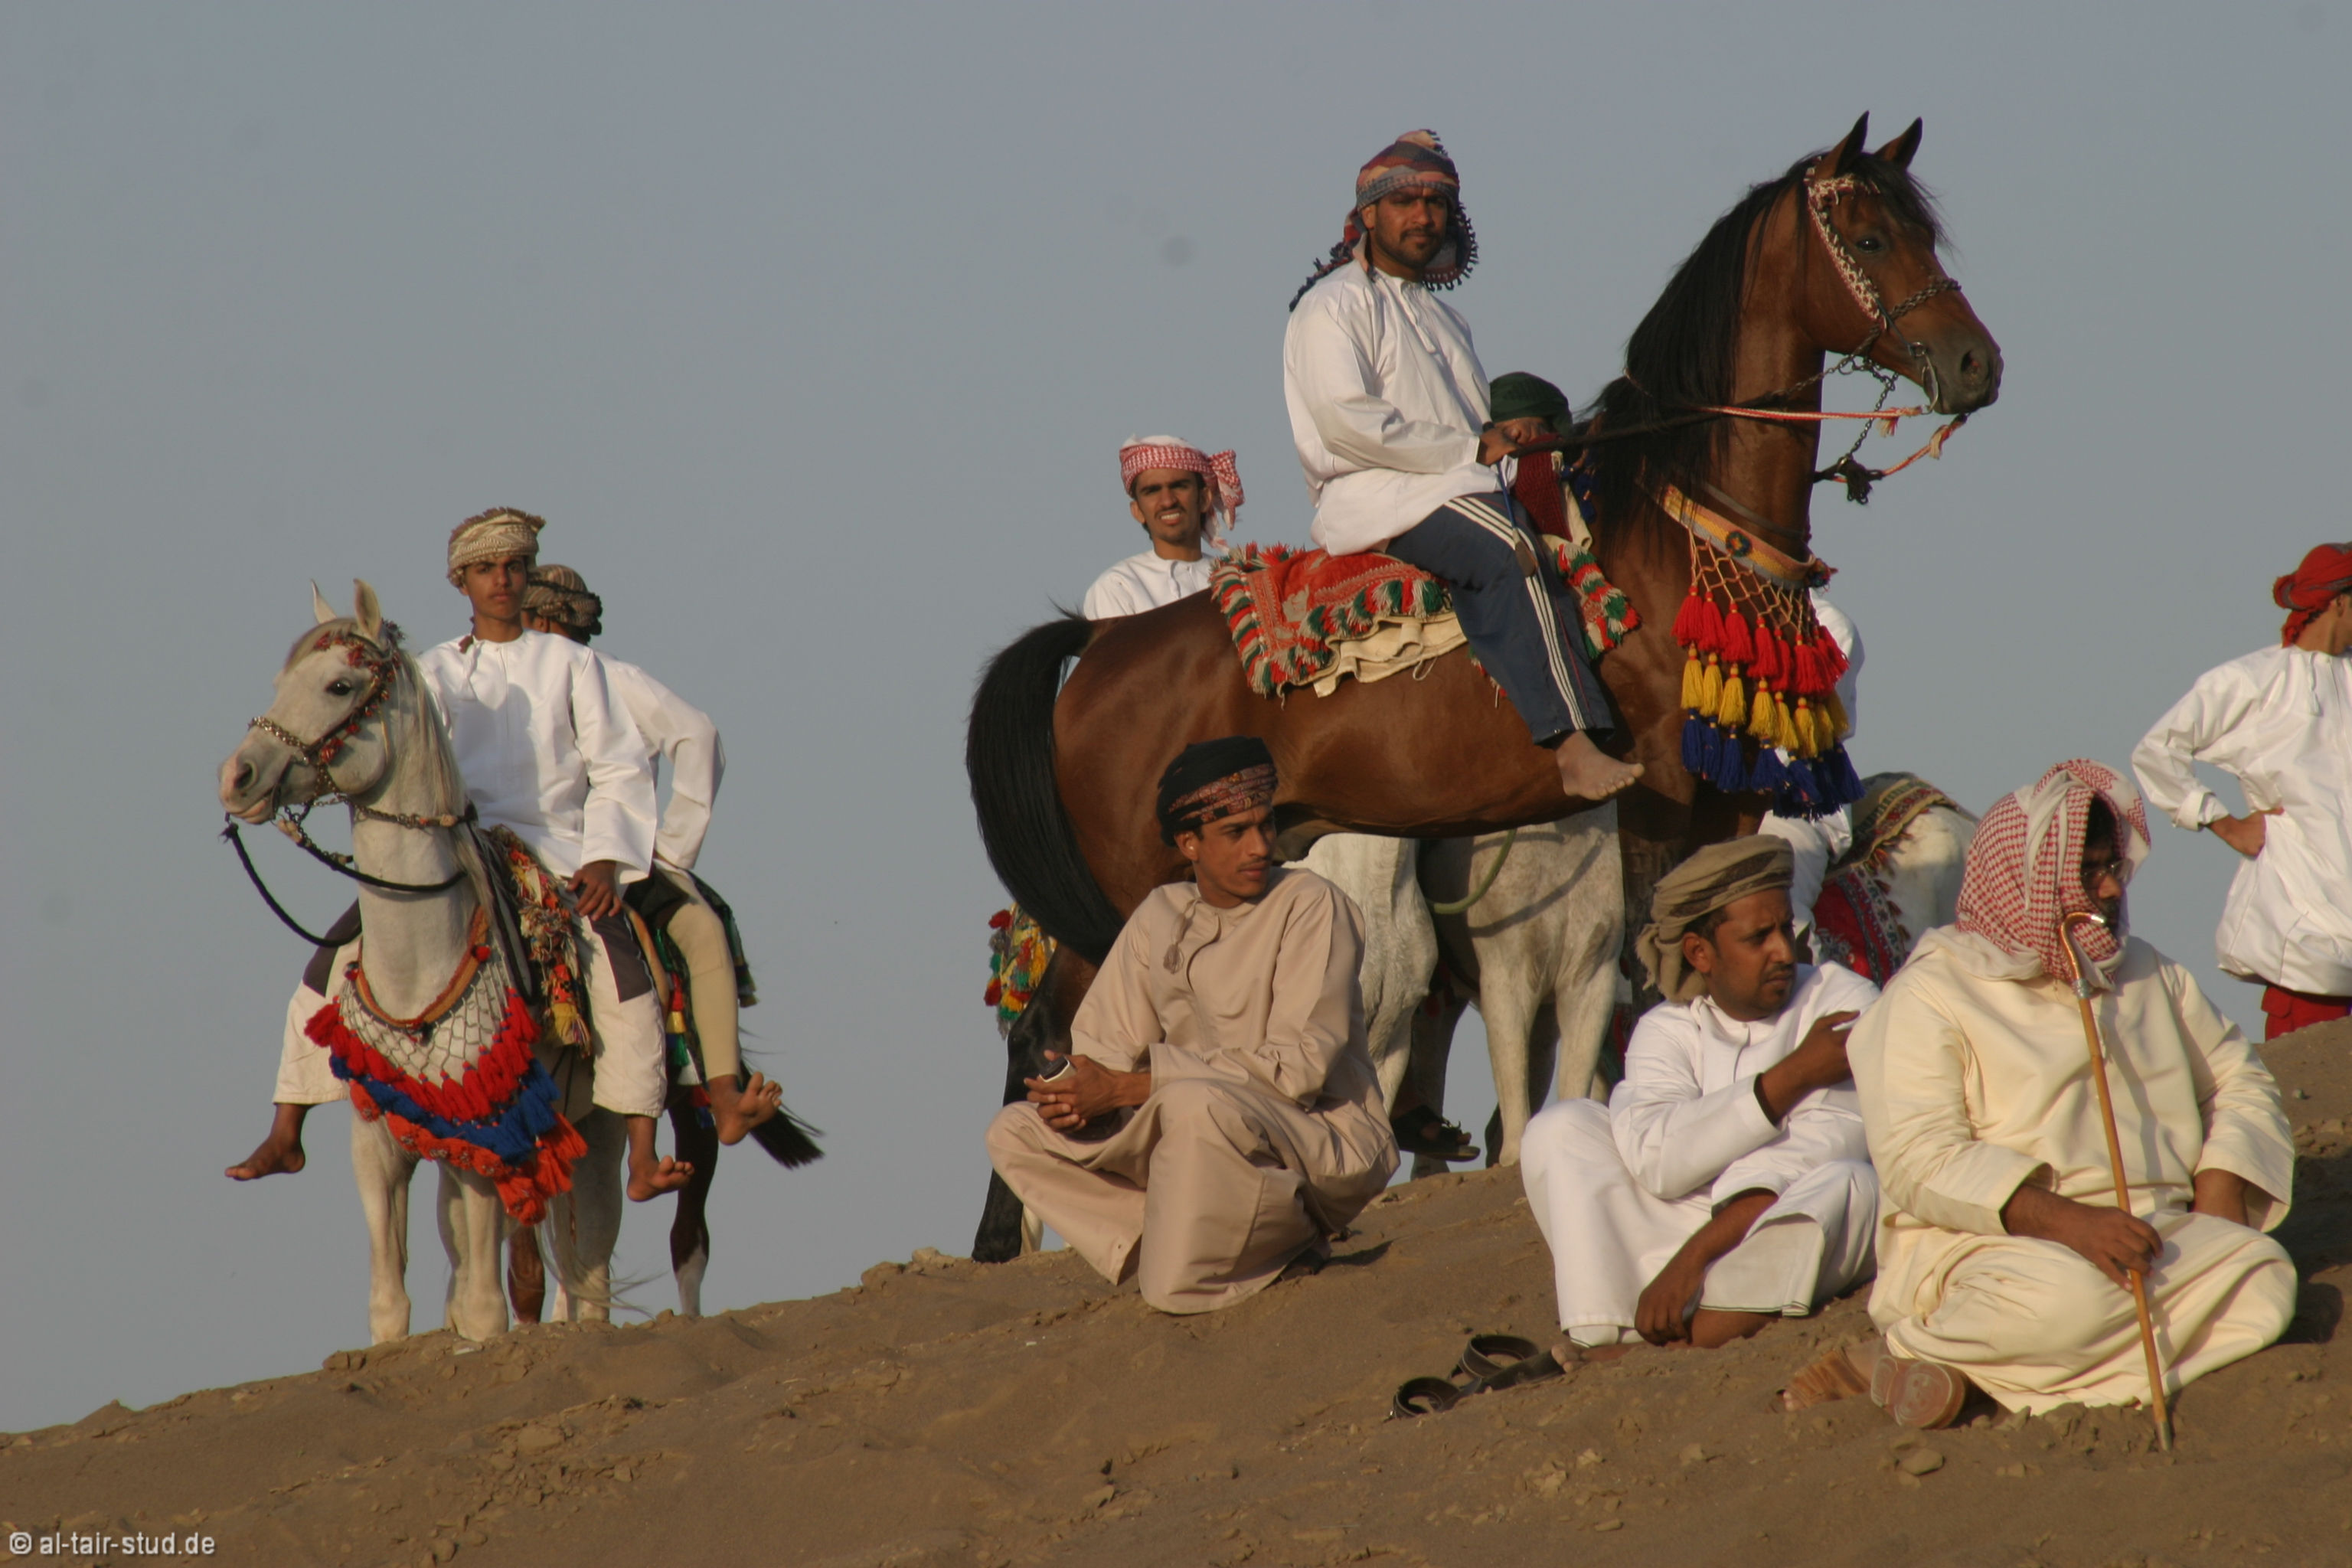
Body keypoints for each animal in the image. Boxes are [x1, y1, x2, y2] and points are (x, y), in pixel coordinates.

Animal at [965, 116, 2002, 1261]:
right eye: (1865, 237)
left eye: (1924, 231)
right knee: (1052, 1032)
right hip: (1124, 883)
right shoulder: (1655, 802)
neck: (1677, 537)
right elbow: (1646, 977)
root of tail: (1099, 641)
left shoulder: (1725, 798)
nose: (1975, 362)